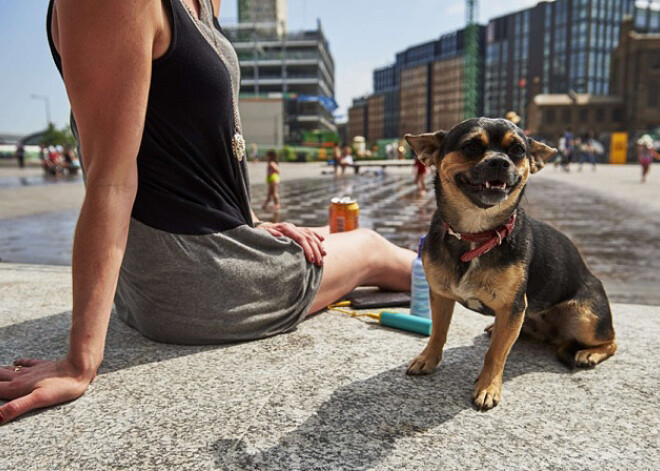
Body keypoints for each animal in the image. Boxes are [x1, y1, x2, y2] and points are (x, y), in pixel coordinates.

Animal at [404, 119, 616, 412]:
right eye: (470, 147)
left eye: (517, 150)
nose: (500, 161)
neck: (476, 234)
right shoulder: (441, 295)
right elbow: (438, 331)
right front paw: (427, 359)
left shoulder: (512, 306)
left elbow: (495, 353)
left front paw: (487, 387)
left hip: (586, 319)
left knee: (612, 341)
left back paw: (589, 353)